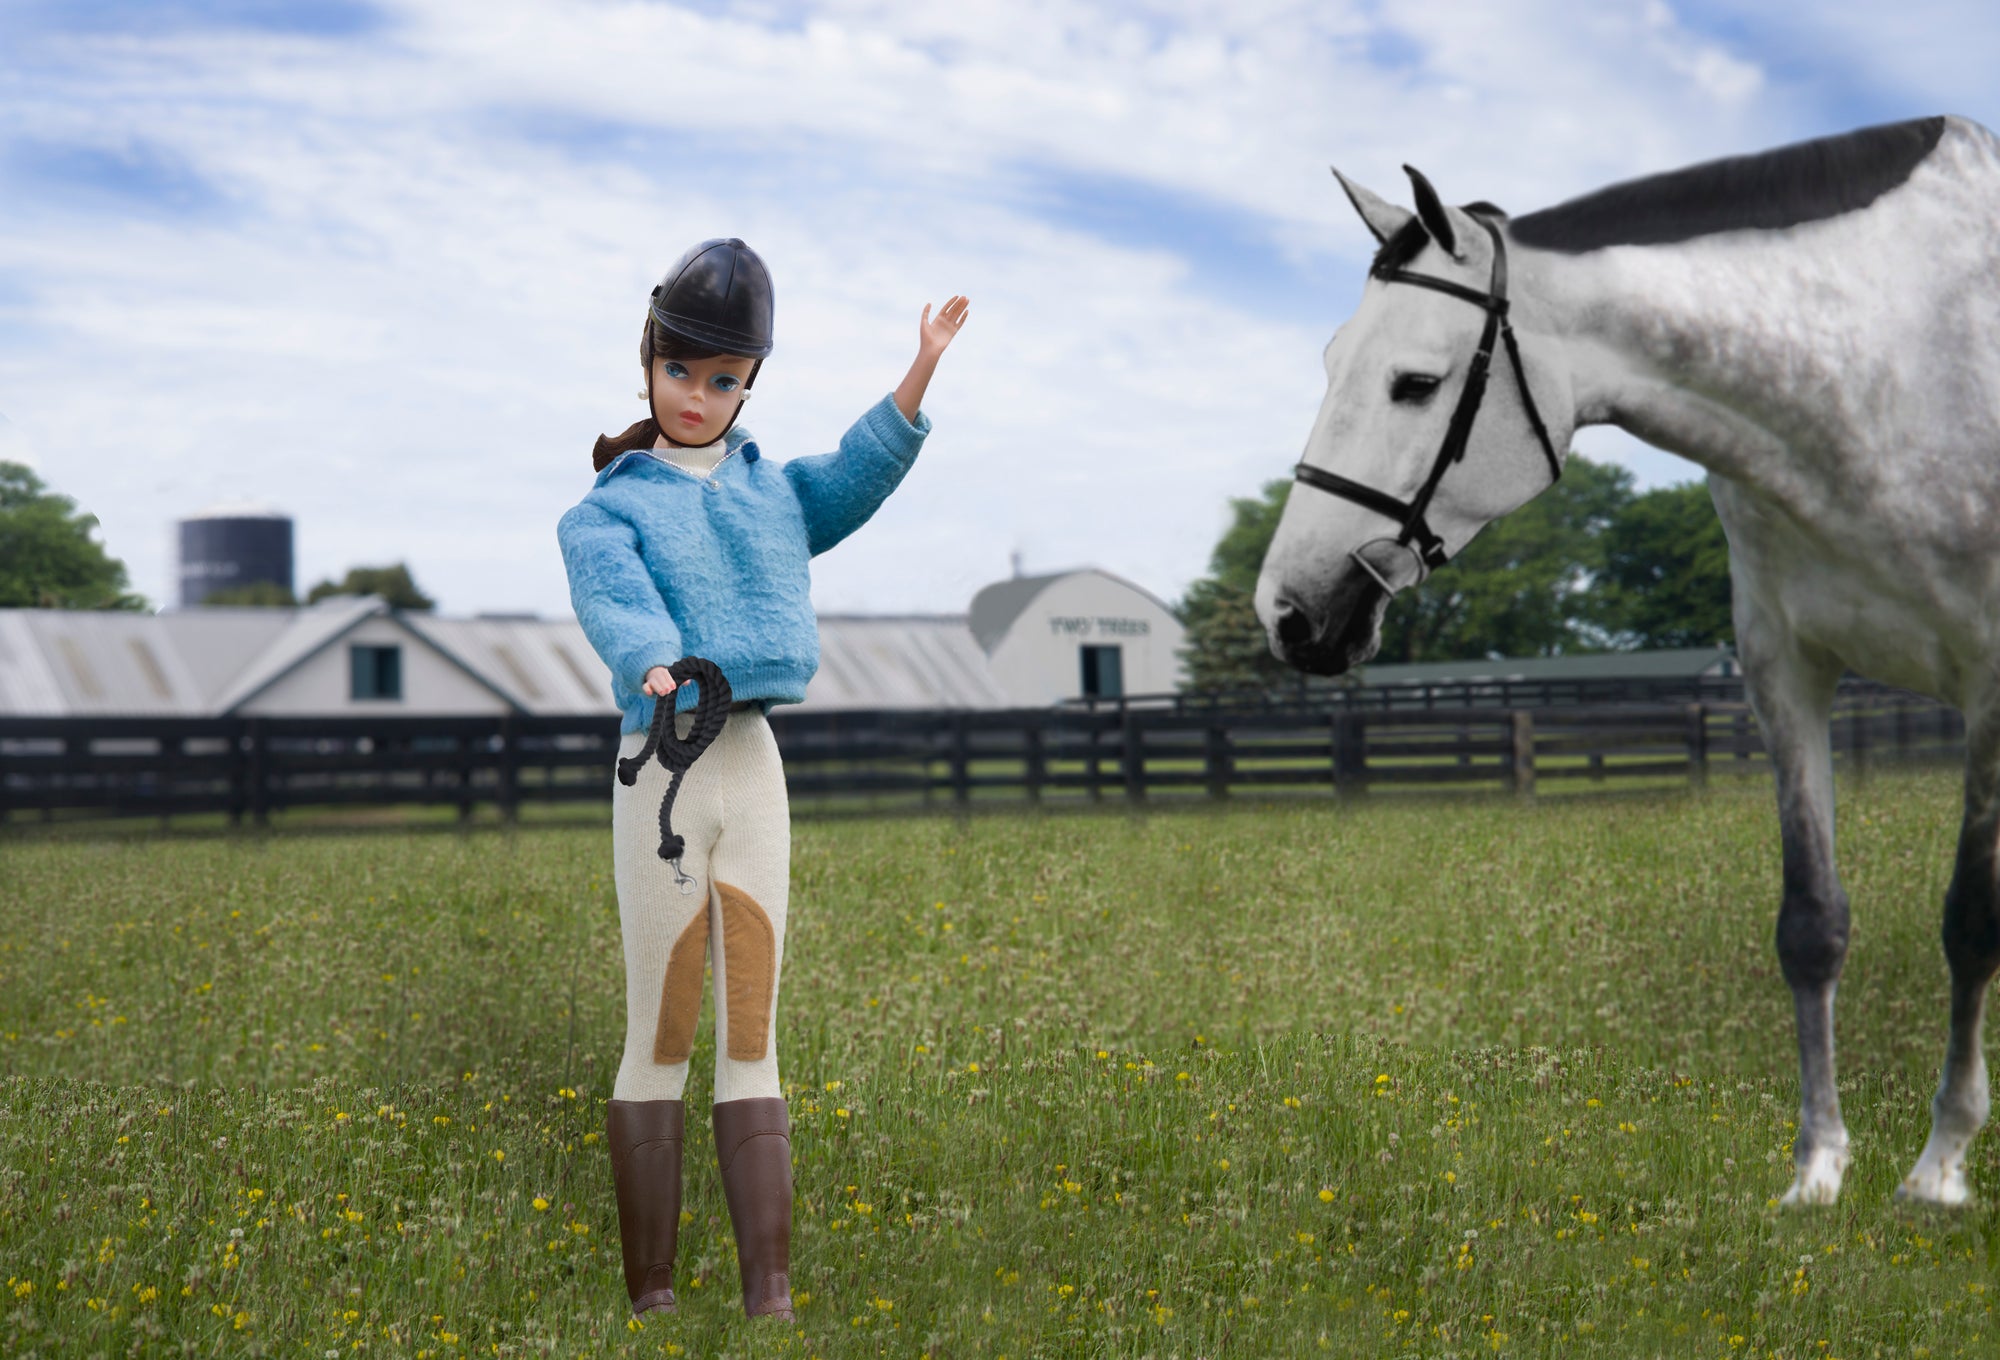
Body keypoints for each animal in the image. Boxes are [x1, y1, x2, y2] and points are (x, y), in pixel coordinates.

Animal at [1256, 114, 2000, 1200]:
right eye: (1328, 361)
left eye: (1415, 384)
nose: (1286, 611)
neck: (1888, 359)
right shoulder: (1783, 673)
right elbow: (1811, 924)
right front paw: (1816, 1172)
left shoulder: (1989, 687)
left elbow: (1971, 920)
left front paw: (1939, 1167)